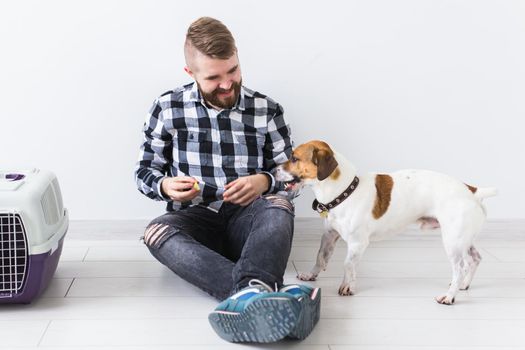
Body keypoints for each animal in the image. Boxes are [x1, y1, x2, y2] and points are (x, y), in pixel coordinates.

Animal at [274, 141, 496, 304]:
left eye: (294, 158)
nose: (273, 170)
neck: (345, 191)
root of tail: (471, 190)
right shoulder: (329, 236)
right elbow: (321, 258)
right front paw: (311, 276)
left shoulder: (357, 243)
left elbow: (348, 265)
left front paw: (348, 286)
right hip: (463, 239)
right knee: (475, 259)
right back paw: (464, 285)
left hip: (452, 242)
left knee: (459, 268)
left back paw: (450, 296)